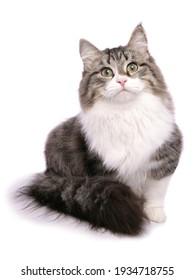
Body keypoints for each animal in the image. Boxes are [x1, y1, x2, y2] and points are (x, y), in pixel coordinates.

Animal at [17, 24, 182, 235]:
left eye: (132, 67)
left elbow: (156, 192)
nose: (121, 81)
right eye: (106, 72)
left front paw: (155, 214)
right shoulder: (106, 170)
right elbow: (120, 190)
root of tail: (48, 173)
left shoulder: (165, 157)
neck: (127, 113)